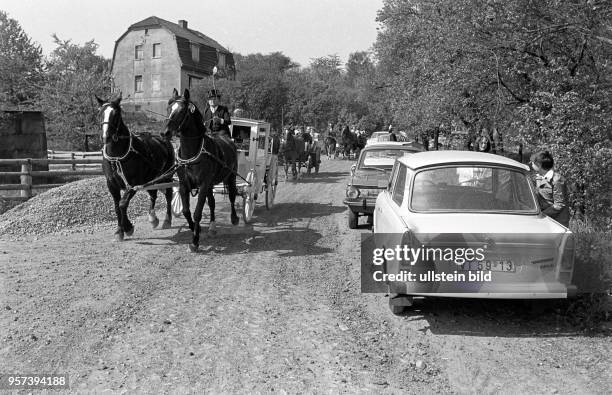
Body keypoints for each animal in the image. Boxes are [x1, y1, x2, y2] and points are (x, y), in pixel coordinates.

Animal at [95, 95, 176, 241]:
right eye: (100, 113)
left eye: (116, 114)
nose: (106, 137)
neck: (117, 157)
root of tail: (163, 138)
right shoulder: (111, 184)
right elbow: (117, 206)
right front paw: (119, 230)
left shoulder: (133, 184)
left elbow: (122, 204)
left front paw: (127, 228)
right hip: (151, 179)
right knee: (153, 195)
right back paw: (153, 218)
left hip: (167, 176)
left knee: (168, 194)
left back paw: (167, 220)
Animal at [163, 88, 239, 252]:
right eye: (168, 108)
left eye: (181, 111)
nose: (164, 132)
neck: (191, 153)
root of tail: (227, 139)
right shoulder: (184, 185)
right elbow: (186, 211)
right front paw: (194, 229)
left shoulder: (203, 185)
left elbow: (197, 212)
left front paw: (195, 241)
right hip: (210, 184)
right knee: (212, 203)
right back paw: (212, 227)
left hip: (231, 177)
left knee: (232, 196)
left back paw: (234, 218)